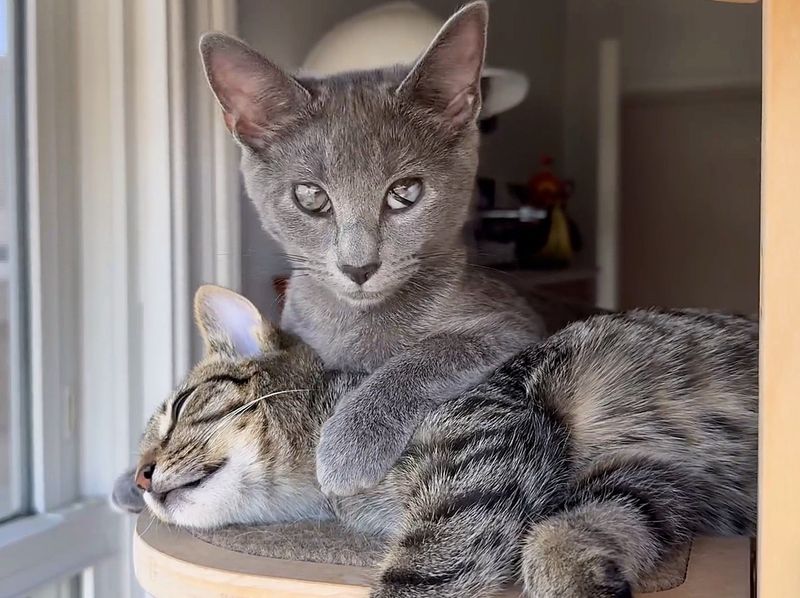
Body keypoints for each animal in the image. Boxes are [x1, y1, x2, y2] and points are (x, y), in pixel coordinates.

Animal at [114, 288, 756, 598]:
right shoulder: (658, 482)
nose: (140, 476)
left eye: (179, 409)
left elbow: (420, 578)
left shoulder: (486, 442)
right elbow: (574, 527)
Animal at [198, 0, 544, 496]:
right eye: (310, 196)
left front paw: (347, 444)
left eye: (405, 192)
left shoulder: (516, 324)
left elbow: (433, 351)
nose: (358, 266)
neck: (355, 324)